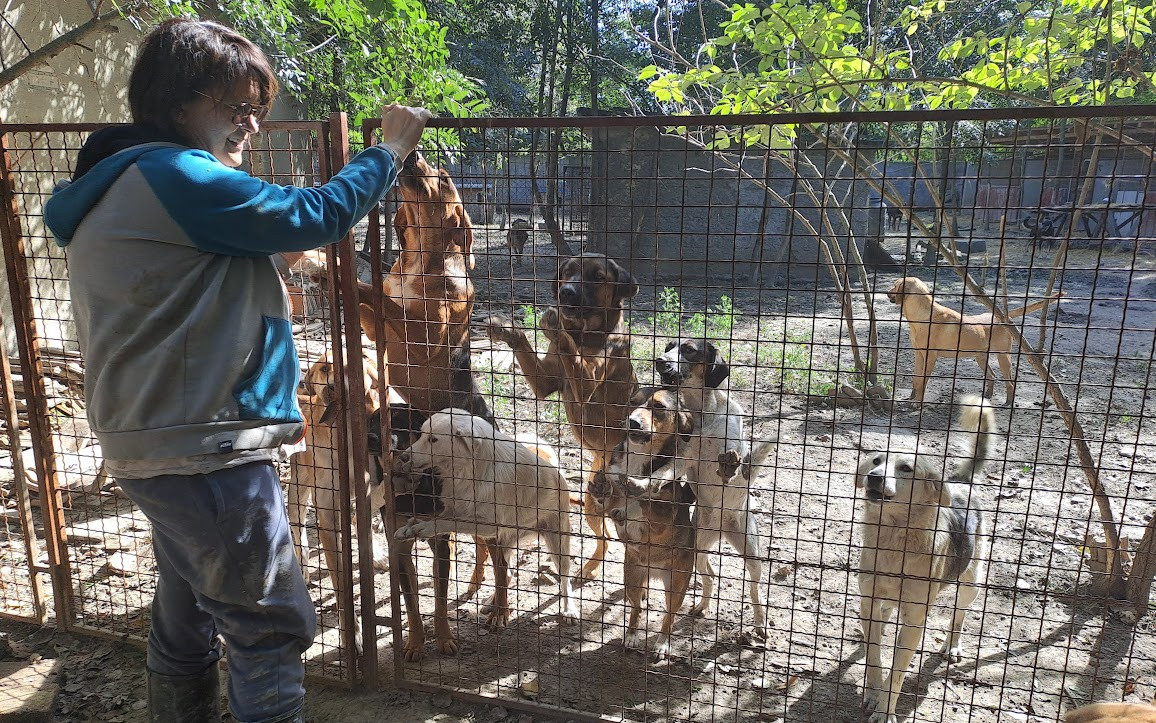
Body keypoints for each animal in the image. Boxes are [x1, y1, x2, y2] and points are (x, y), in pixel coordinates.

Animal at [395, 409, 578, 629]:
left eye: (433, 439)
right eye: (421, 435)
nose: (403, 456)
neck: (469, 471)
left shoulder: (486, 523)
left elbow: (446, 522)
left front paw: (422, 528)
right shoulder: (454, 509)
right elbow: (436, 517)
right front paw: (411, 526)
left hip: (557, 542)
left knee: (565, 579)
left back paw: (569, 609)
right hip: (503, 543)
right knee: (507, 573)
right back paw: (493, 602)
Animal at [485, 253, 642, 580]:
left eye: (598, 277)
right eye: (567, 272)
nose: (565, 293)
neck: (586, 335)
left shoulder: (587, 384)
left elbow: (571, 351)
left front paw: (557, 326)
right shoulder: (545, 381)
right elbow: (527, 344)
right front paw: (506, 329)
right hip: (590, 504)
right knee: (606, 537)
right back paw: (587, 569)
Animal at [860, 395, 994, 721]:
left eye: (906, 468)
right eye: (876, 461)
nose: (872, 478)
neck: (894, 538)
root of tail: (959, 482)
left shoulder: (914, 621)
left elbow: (896, 673)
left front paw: (885, 709)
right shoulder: (868, 602)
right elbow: (874, 657)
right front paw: (873, 693)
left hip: (970, 585)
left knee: (959, 615)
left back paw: (952, 645)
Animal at [883, 275, 1063, 402]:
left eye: (895, 285)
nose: (886, 293)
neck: (922, 314)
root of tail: (1000, 317)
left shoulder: (930, 357)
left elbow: (923, 383)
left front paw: (918, 403)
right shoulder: (918, 354)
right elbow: (916, 380)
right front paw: (911, 398)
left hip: (1003, 357)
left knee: (1010, 383)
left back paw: (1008, 402)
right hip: (981, 358)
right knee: (992, 376)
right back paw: (987, 396)